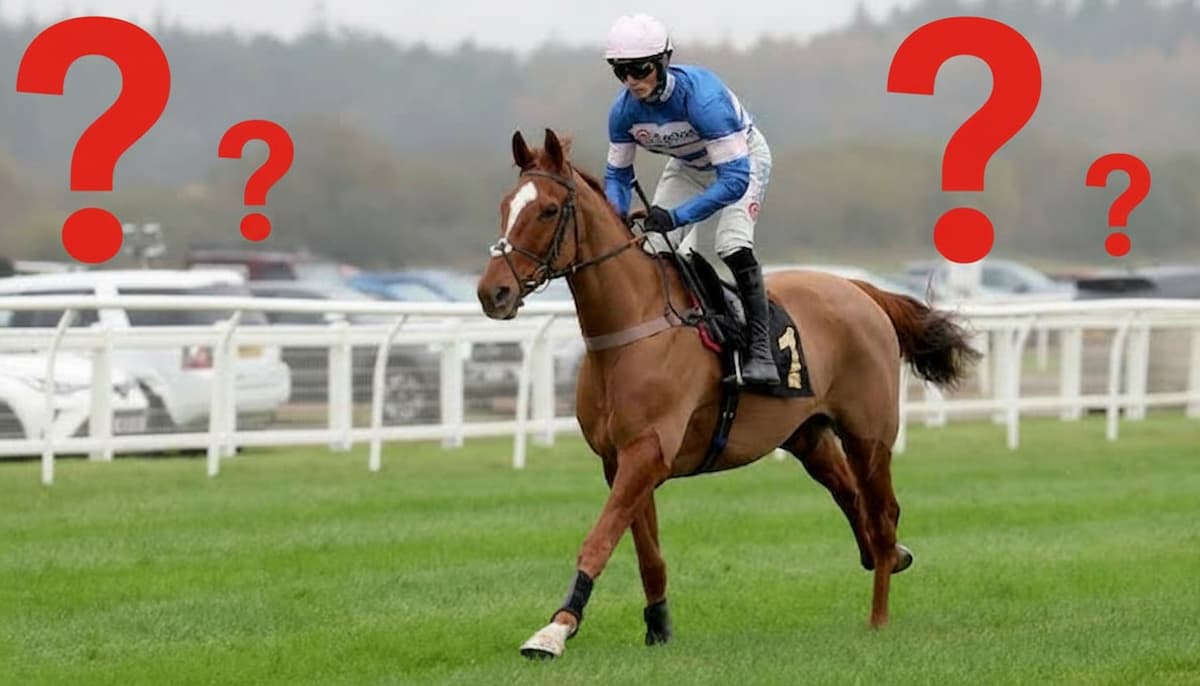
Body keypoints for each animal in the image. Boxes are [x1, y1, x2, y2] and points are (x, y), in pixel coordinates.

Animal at [476, 128, 980, 660]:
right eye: (507, 205)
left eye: (549, 210)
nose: (493, 293)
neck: (632, 326)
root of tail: (860, 288)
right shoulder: (620, 459)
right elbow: (646, 551)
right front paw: (658, 627)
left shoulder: (646, 452)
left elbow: (599, 539)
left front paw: (555, 629)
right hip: (808, 436)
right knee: (852, 499)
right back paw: (893, 558)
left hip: (869, 433)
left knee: (883, 515)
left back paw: (879, 616)